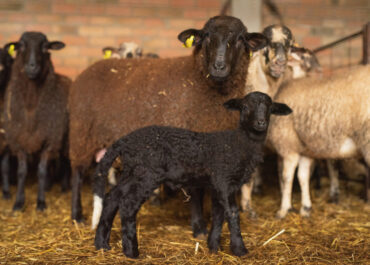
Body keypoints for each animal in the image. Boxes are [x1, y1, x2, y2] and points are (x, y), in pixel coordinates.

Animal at [3, 32, 71, 210]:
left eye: (45, 47)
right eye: (21, 46)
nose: (32, 67)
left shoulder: (50, 140)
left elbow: (41, 171)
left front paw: (41, 202)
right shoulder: (18, 140)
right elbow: (22, 172)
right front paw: (19, 202)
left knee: (65, 161)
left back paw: (64, 186)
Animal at [68, 15, 266, 222]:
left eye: (240, 39)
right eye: (206, 36)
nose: (218, 67)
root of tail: (91, 68)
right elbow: (196, 191)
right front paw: (199, 223)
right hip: (81, 134)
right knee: (77, 173)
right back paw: (77, 215)